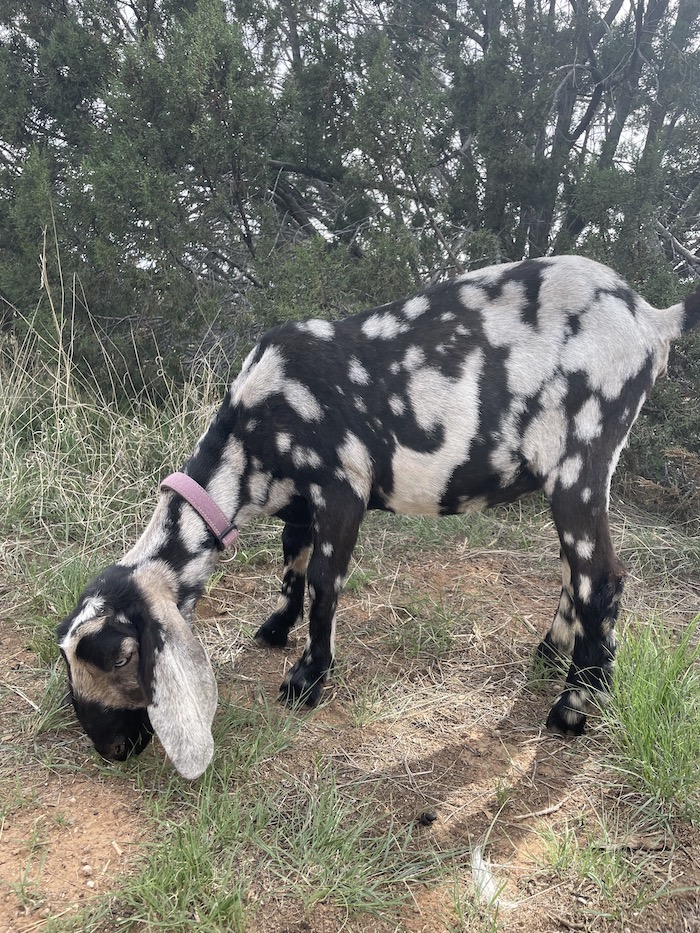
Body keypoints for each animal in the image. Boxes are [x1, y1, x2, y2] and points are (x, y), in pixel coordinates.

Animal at [56, 255, 700, 780]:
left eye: (121, 656)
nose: (110, 750)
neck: (254, 429)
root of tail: (651, 318)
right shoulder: (301, 504)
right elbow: (292, 565)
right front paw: (276, 629)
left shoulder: (342, 489)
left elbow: (324, 582)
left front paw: (308, 678)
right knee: (576, 570)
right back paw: (550, 653)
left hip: (581, 460)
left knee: (603, 578)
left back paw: (575, 705)